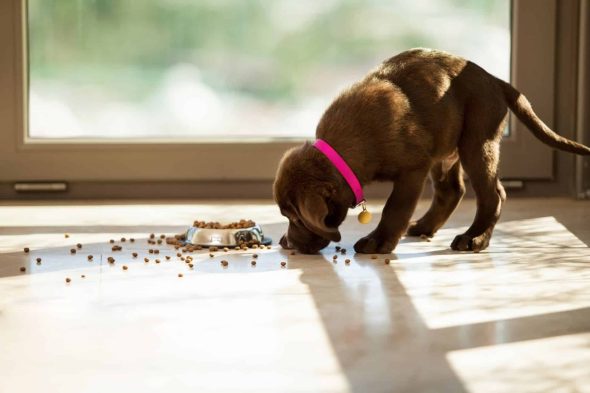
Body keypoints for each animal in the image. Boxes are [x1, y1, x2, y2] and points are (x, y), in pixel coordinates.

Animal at [276, 48, 590, 254]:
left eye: (296, 218)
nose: (288, 243)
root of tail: (494, 80)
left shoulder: (412, 169)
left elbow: (394, 208)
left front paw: (378, 241)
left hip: (477, 142)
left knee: (493, 195)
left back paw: (474, 239)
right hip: (446, 149)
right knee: (452, 191)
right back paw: (425, 226)